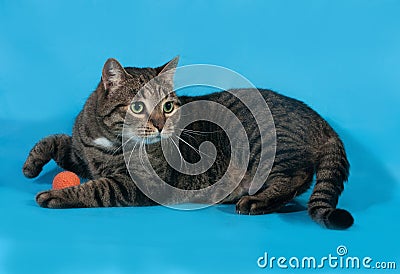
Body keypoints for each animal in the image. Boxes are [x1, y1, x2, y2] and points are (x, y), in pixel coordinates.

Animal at [22, 57, 354, 229]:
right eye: (137, 107)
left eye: (168, 106)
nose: (160, 124)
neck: (109, 140)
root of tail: (321, 120)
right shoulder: (81, 154)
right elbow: (56, 140)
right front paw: (30, 164)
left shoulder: (136, 184)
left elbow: (96, 188)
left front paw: (56, 195)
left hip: (267, 144)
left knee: (295, 177)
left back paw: (255, 200)